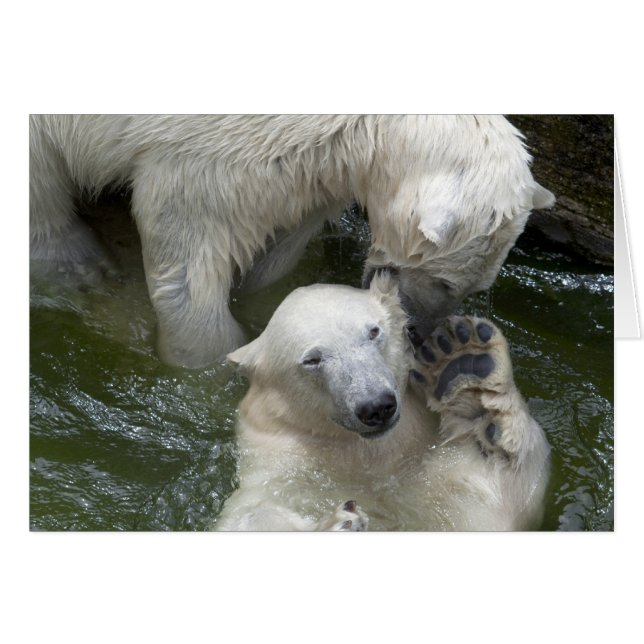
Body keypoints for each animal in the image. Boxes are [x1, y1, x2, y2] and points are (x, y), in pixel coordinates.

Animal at [29, 114, 555, 368]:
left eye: (473, 289)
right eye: (445, 283)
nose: (419, 335)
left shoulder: (311, 166)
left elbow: (281, 240)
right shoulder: (210, 152)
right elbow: (187, 246)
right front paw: (208, 361)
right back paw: (77, 265)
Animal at [212, 273, 550, 531]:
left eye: (373, 331)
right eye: (312, 360)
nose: (376, 406)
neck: (369, 454)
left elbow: (498, 499)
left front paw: (468, 368)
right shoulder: (280, 461)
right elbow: (250, 513)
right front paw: (340, 523)